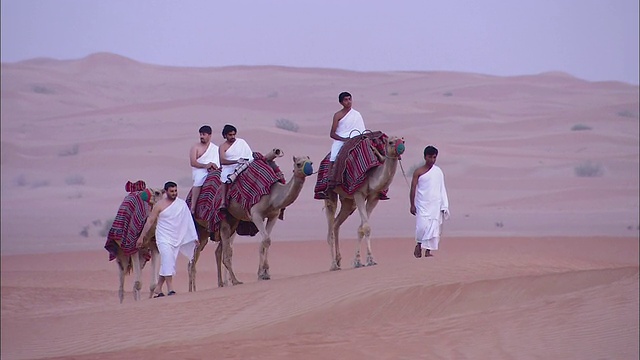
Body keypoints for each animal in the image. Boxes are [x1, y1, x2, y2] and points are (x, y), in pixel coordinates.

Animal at [324, 135, 404, 270]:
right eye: (390, 142)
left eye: (403, 140)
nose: (401, 147)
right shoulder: (358, 193)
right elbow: (366, 227)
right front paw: (370, 260)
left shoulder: (374, 197)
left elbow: (361, 228)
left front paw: (358, 261)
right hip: (329, 192)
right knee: (330, 226)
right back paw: (333, 265)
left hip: (348, 201)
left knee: (336, 223)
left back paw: (339, 260)